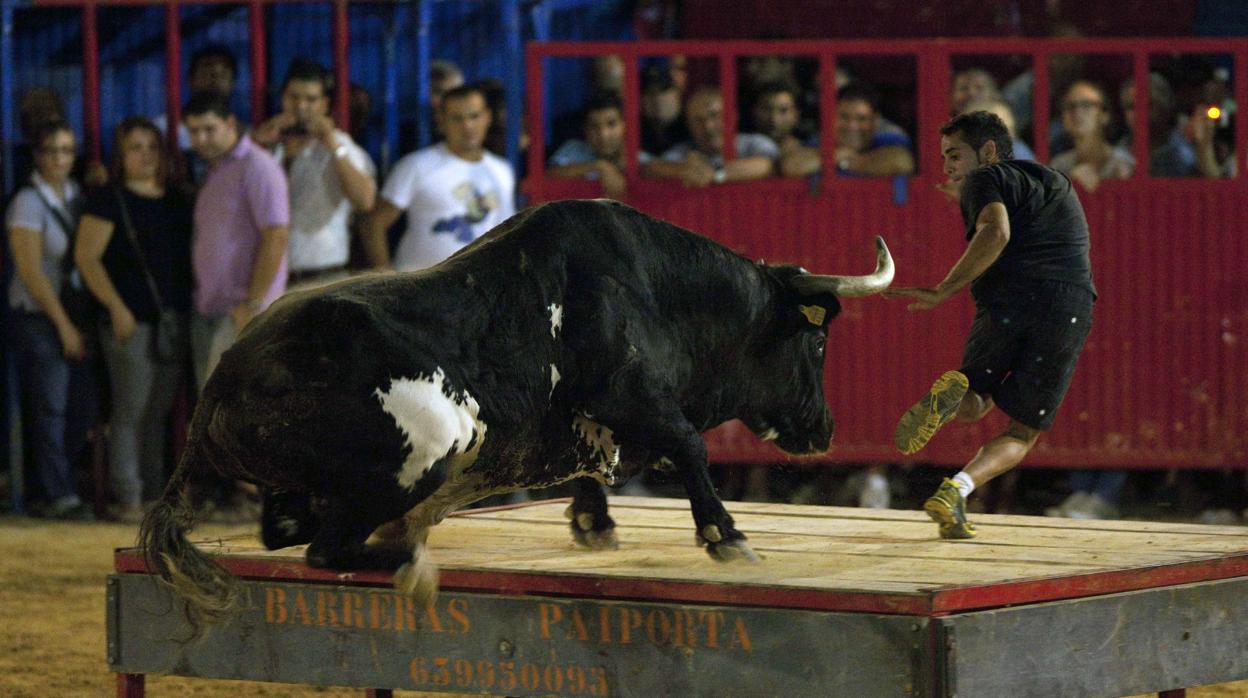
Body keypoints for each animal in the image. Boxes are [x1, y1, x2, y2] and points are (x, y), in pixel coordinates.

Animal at [141, 198, 893, 629]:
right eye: (818, 341)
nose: (824, 430)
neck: (657, 289)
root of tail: (220, 384)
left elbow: (599, 462)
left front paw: (593, 520)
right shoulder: (630, 394)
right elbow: (690, 447)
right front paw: (726, 535)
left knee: (288, 530)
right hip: (427, 449)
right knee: (329, 547)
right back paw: (410, 558)